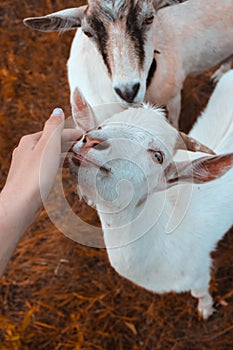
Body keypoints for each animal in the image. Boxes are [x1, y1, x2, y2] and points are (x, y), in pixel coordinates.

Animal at [69, 70, 233, 320]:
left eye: (158, 156)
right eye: (102, 126)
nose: (91, 141)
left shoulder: (199, 270)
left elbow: (200, 292)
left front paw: (206, 310)